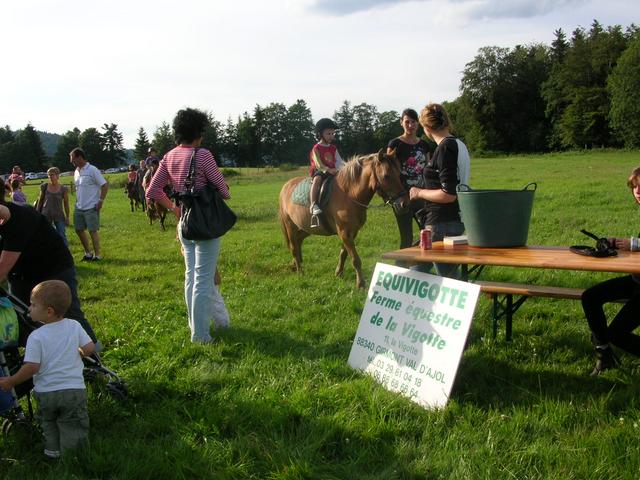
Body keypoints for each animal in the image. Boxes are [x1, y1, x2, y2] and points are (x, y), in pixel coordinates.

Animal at [278, 149, 408, 288]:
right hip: (290, 226)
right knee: (294, 247)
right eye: (386, 176)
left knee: (298, 242)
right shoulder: (344, 233)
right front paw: (360, 284)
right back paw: (300, 271)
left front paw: (338, 273)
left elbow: (343, 254)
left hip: (305, 228)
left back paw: (295, 265)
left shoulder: (352, 232)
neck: (349, 194)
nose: (404, 204)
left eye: (399, 174)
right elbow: (355, 259)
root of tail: (285, 186)